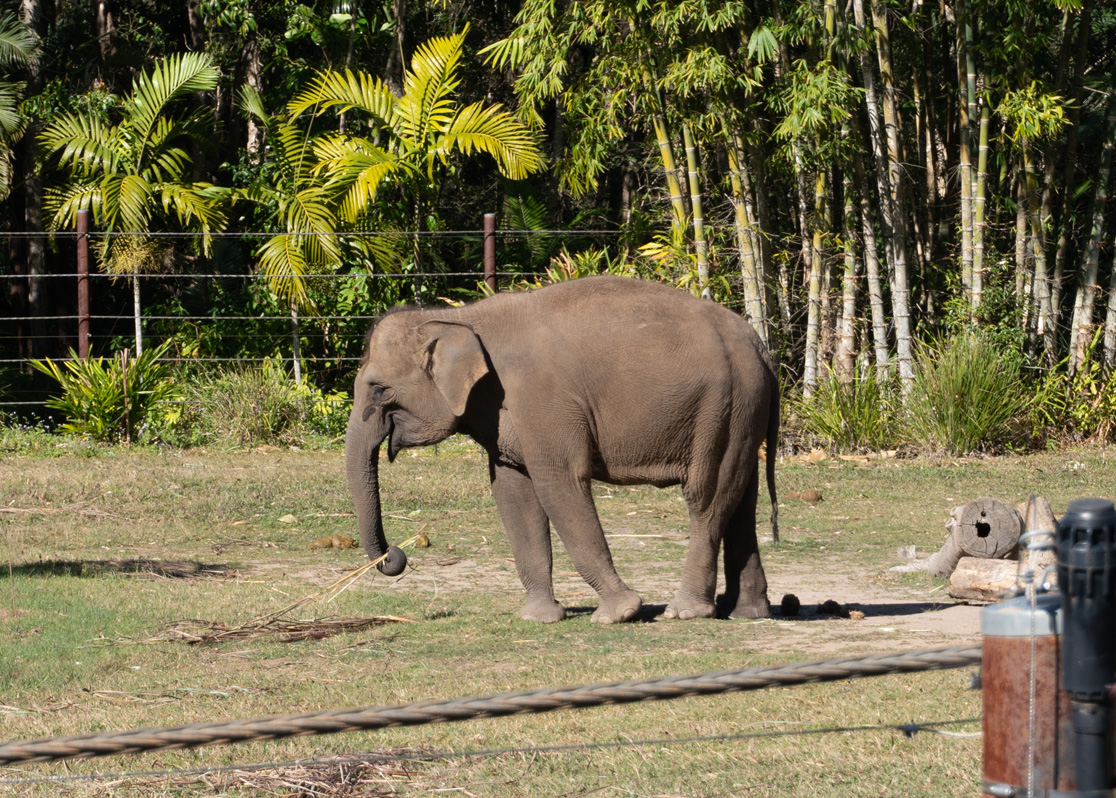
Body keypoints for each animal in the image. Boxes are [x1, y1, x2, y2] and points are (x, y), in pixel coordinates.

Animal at [346, 275, 779, 623]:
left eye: (379, 389)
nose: (396, 557)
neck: (460, 318)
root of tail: (760, 346)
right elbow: (513, 493)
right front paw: (537, 618)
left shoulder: (542, 400)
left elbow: (559, 483)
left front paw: (618, 614)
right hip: (742, 412)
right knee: (742, 500)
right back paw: (747, 612)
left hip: (724, 405)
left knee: (707, 497)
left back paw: (685, 612)